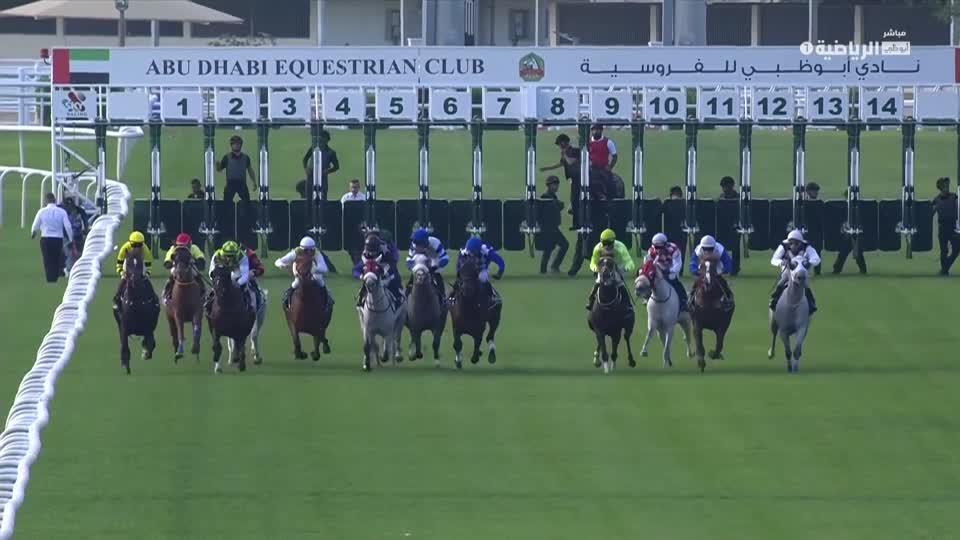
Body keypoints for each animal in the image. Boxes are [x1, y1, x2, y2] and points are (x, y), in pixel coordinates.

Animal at [112, 246, 160, 375]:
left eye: (139, 262)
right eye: (128, 262)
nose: (135, 280)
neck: (136, 301)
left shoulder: (148, 325)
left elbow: (150, 342)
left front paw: (145, 353)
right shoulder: (124, 326)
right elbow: (124, 345)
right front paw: (125, 365)